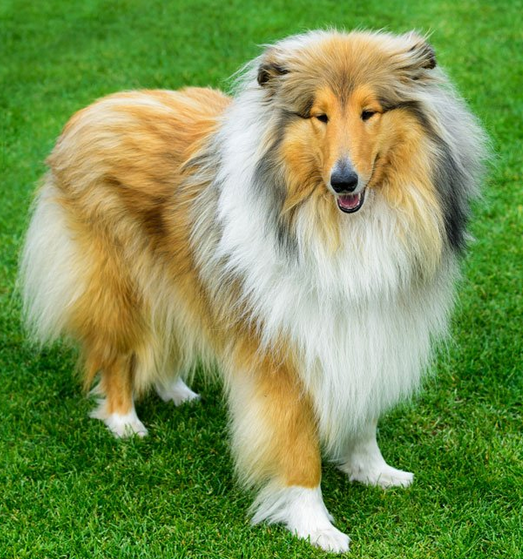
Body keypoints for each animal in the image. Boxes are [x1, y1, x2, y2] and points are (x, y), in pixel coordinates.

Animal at [20, 29, 488, 552]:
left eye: (370, 112)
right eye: (319, 115)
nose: (343, 180)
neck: (340, 224)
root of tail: (93, 109)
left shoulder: (366, 329)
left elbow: (363, 416)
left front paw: (373, 471)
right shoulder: (282, 353)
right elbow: (298, 448)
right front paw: (315, 526)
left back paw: (176, 391)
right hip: (119, 287)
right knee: (116, 353)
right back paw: (125, 422)